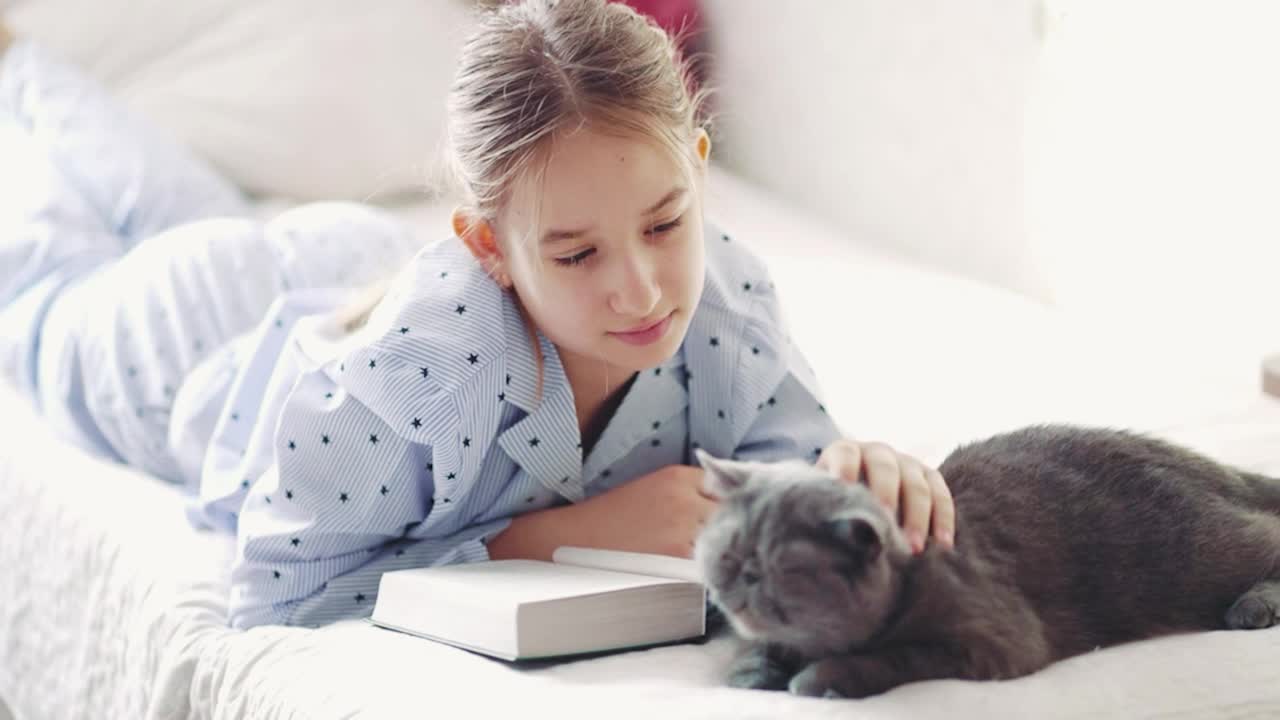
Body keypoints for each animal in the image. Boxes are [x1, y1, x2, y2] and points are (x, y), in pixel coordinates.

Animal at [696, 422, 1280, 696]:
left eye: (775, 566)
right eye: (726, 551)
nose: (737, 578)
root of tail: (1203, 463)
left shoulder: (994, 638)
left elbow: (898, 656)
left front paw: (820, 678)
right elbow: (758, 649)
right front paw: (753, 670)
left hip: (1199, 551)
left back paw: (1254, 606)